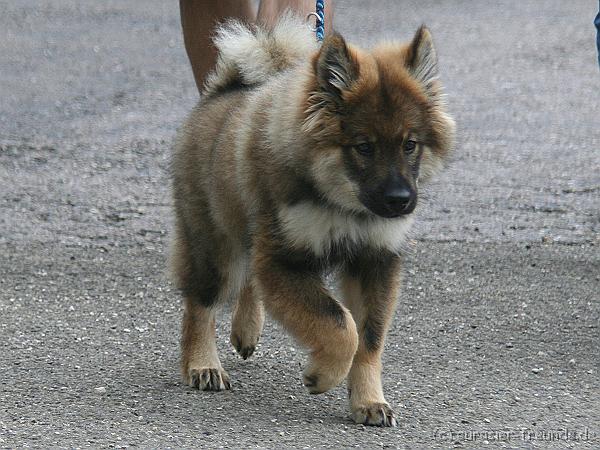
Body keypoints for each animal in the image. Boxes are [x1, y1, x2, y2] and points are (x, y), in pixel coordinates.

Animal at [170, 15, 454, 428]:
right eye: (363, 147)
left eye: (409, 144)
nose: (400, 201)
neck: (344, 206)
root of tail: (222, 92)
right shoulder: (285, 259)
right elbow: (341, 325)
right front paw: (323, 375)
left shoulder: (374, 260)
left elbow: (368, 339)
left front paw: (369, 402)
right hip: (214, 244)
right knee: (200, 304)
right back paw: (202, 364)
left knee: (248, 282)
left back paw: (245, 331)